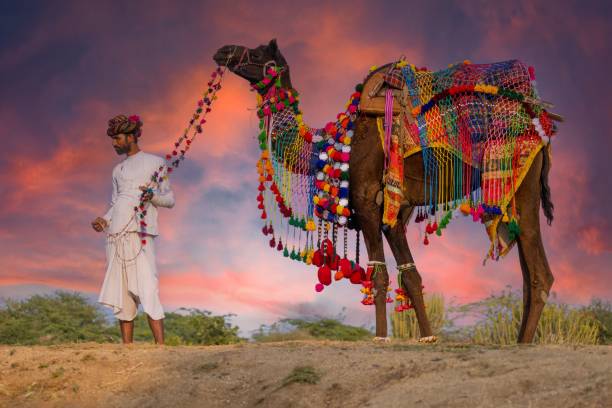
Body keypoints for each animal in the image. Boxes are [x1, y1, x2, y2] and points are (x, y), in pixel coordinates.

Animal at [213, 39, 560, 342]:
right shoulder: (393, 210)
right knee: (527, 272)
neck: (334, 142)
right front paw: (427, 336)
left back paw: (523, 344)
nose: (223, 50)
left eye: (258, 54)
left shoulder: (366, 200)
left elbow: (378, 274)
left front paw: (380, 337)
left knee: (540, 273)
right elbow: (411, 274)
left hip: (522, 177)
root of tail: (542, 124)